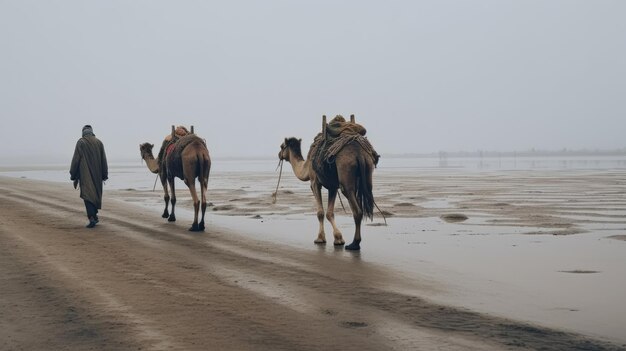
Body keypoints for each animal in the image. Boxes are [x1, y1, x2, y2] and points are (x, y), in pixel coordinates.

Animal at [280, 115, 376, 250]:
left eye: (281, 146)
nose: (279, 155)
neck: (306, 167)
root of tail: (359, 154)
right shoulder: (332, 186)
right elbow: (330, 213)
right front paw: (338, 239)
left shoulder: (314, 183)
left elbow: (320, 212)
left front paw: (321, 238)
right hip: (368, 169)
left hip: (345, 173)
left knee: (356, 210)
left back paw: (354, 244)